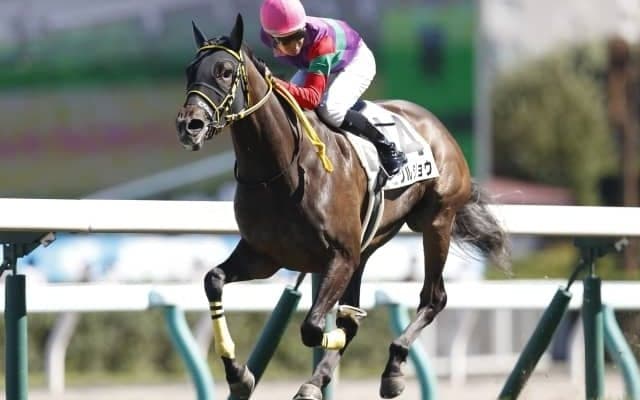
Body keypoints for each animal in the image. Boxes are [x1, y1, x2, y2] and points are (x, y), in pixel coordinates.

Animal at [175, 14, 508, 400]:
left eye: (226, 71)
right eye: (190, 70)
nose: (189, 125)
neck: (281, 171)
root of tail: (436, 125)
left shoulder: (340, 256)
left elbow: (313, 327)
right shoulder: (264, 255)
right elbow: (213, 281)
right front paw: (238, 374)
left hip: (436, 221)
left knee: (433, 297)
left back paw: (392, 369)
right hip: (369, 243)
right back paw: (318, 380)